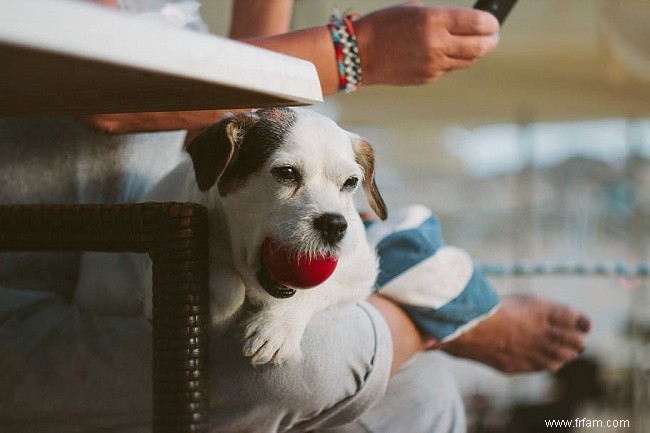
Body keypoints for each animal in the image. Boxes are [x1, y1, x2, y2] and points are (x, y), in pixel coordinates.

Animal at [74, 108, 384, 364]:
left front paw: (277, 326)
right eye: (286, 173)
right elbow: (226, 284)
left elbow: (319, 288)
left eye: (350, 182)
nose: (334, 225)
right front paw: (219, 312)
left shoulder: (360, 272)